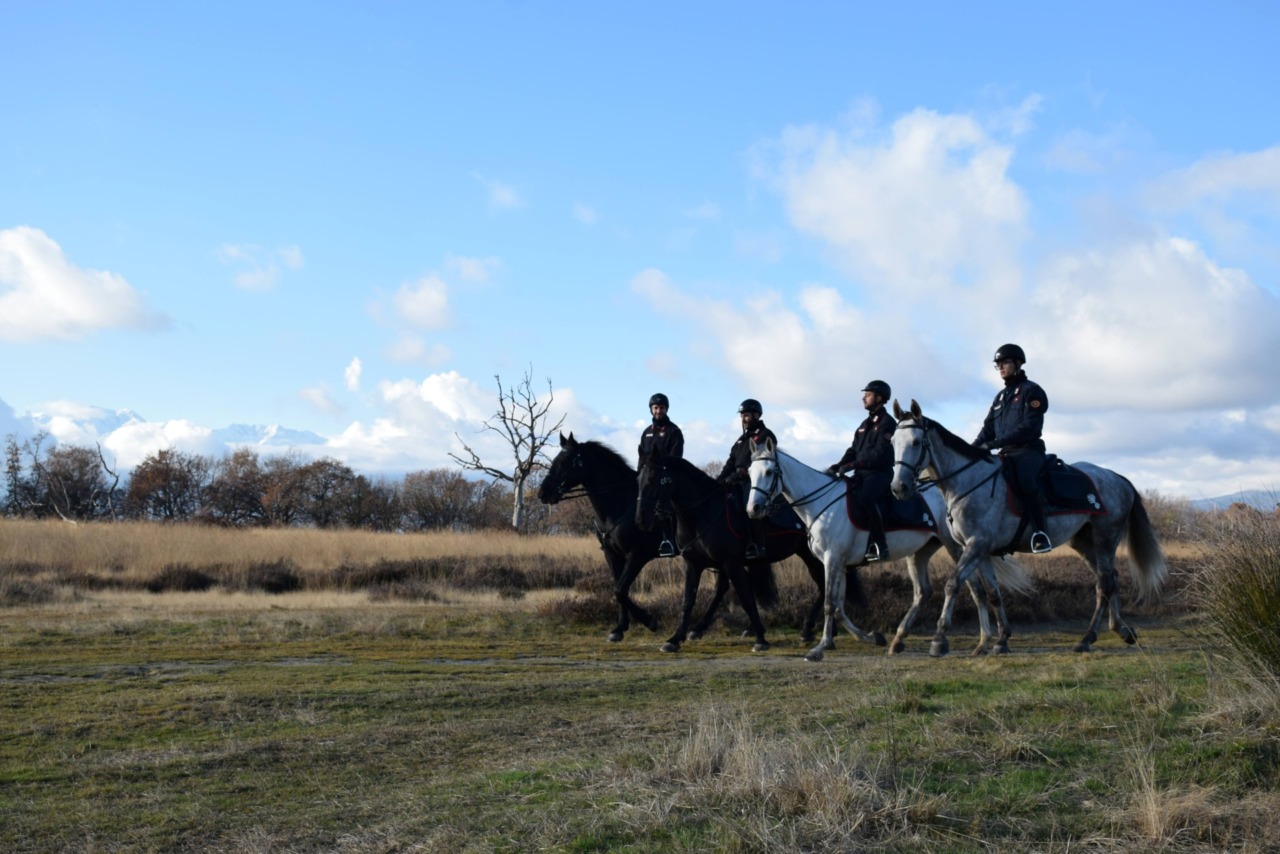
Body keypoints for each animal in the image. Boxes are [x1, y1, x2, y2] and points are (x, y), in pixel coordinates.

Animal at [635, 447, 839, 653]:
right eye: (639, 480)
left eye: (652, 479)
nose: (641, 519)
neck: (702, 513)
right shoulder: (694, 564)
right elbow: (688, 600)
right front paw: (675, 639)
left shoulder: (731, 563)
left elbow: (745, 598)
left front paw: (760, 639)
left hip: (813, 556)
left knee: (825, 586)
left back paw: (811, 629)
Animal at [746, 438, 1033, 661]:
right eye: (750, 472)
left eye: (769, 472)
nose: (753, 509)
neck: (822, 504)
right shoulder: (839, 563)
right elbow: (838, 606)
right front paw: (871, 637)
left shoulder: (832, 559)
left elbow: (829, 604)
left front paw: (819, 649)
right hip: (921, 551)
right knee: (924, 591)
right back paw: (901, 640)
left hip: (957, 546)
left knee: (973, 588)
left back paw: (979, 641)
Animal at [889, 399, 1168, 655]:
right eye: (893, 441)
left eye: (916, 442)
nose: (898, 488)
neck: (967, 483)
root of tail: (1117, 478)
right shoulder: (981, 551)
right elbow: (993, 593)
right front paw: (999, 640)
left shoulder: (976, 546)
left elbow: (953, 584)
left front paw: (940, 639)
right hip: (1084, 543)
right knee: (1111, 578)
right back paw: (1121, 630)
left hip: (1105, 539)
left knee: (1103, 585)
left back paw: (1087, 638)